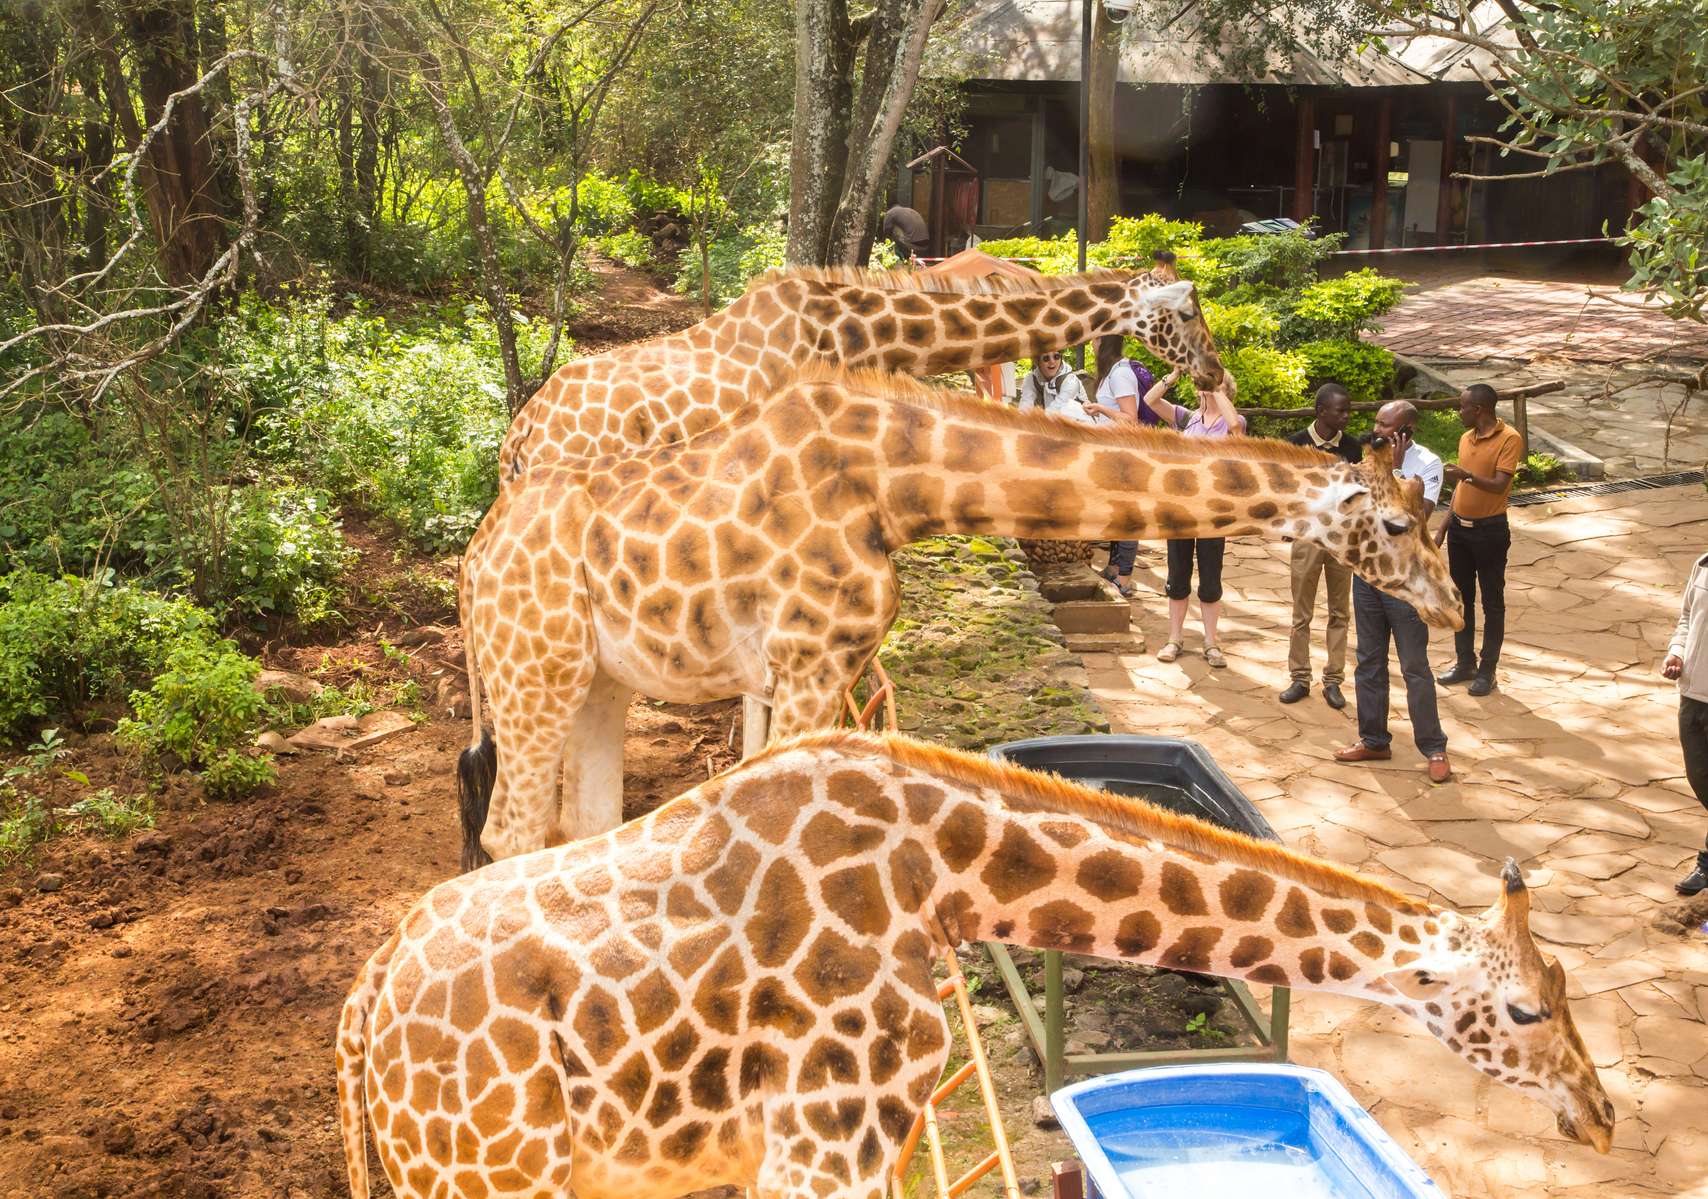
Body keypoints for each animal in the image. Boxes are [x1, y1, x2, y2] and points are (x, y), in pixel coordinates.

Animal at [340, 732, 1614, 1199]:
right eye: (1521, 1006)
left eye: (1567, 991)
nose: (1601, 1115)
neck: (937, 876)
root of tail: (358, 1017)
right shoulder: (824, 1145)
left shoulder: (862, 1140)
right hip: (489, 1177)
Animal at [457, 366, 1463, 867]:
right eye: (1397, 523)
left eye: (1437, 516)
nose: (1451, 608)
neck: (899, 486)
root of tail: (473, 560)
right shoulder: (808, 661)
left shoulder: (818, 669)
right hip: (534, 673)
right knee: (508, 830)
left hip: (597, 682)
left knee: (578, 825)